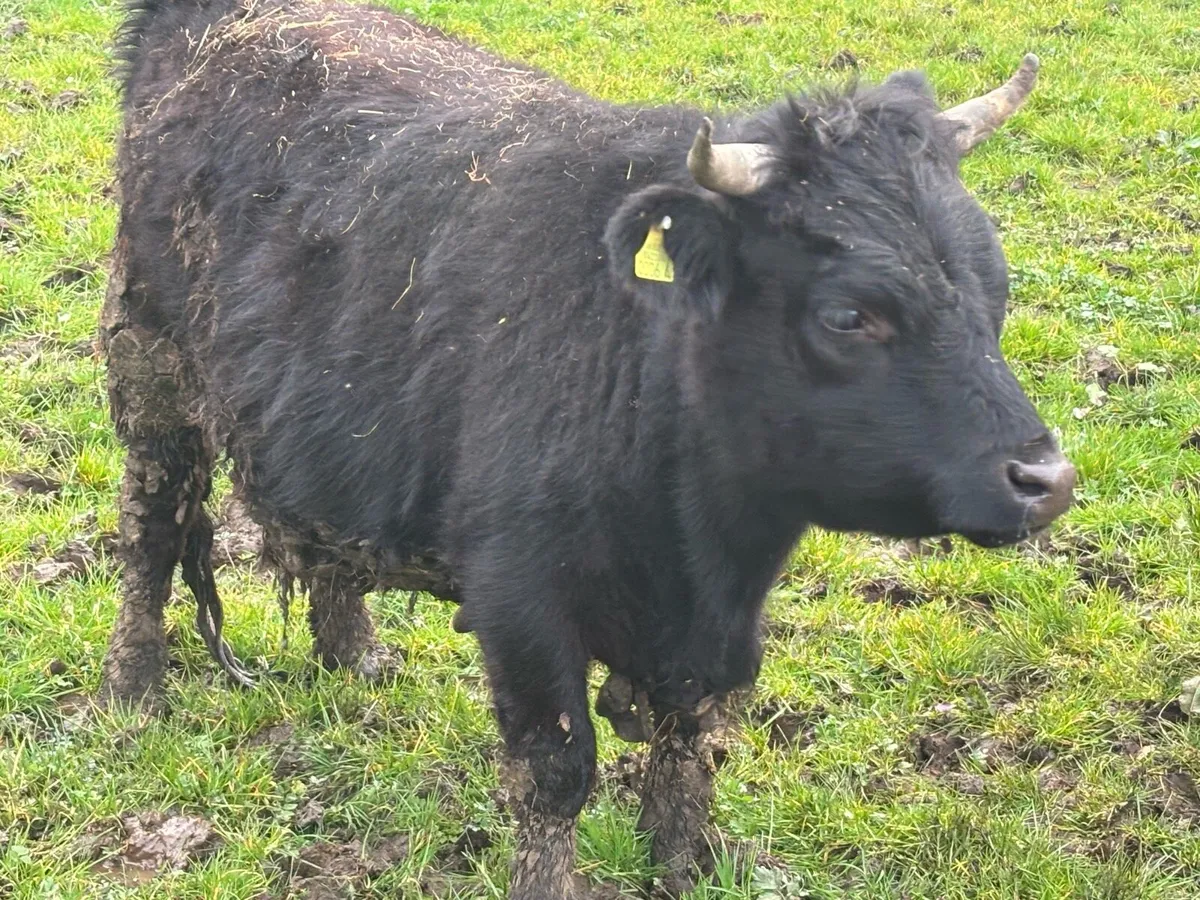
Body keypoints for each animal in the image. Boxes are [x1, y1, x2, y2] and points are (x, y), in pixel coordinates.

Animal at [101, 0, 1075, 894]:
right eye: (847, 314)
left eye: (996, 283)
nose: (1047, 478)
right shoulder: (519, 598)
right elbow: (556, 772)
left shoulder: (712, 625)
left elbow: (691, 738)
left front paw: (684, 864)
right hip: (150, 369)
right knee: (149, 530)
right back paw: (133, 691)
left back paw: (357, 656)